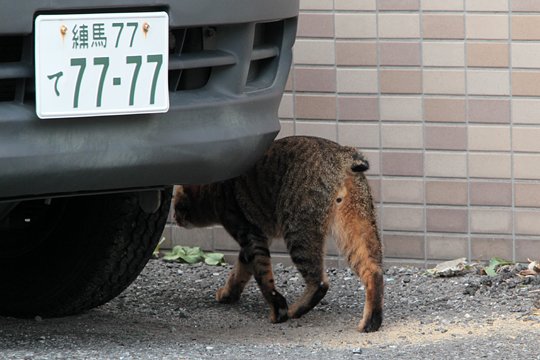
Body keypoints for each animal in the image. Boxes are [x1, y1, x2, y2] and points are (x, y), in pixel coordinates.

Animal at [174, 136, 384, 334]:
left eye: (176, 206)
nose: (175, 218)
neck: (215, 188)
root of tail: (342, 154)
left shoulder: (250, 235)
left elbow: (262, 276)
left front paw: (278, 310)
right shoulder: (255, 239)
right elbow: (241, 270)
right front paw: (229, 294)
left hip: (298, 232)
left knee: (319, 282)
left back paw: (295, 310)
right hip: (357, 227)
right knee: (373, 271)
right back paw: (371, 322)